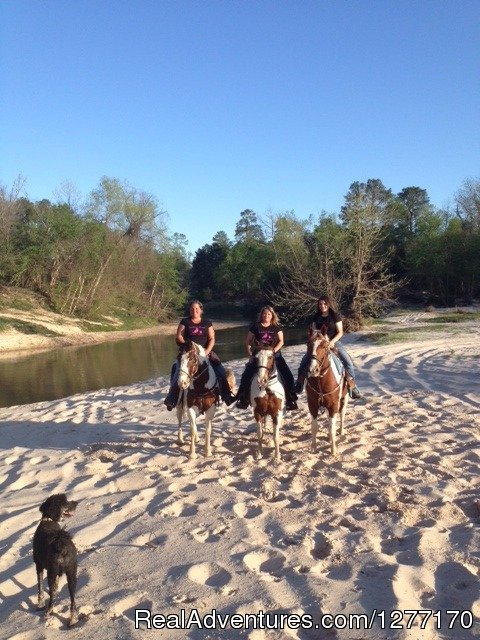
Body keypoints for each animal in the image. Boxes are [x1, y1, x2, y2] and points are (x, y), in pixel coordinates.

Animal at [32, 496, 78, 624]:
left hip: (51, 571)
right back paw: (73, 619)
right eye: (66, 502)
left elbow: (40, 587)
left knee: (51, 596)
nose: (76, 503)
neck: (48, 520)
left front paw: (40, 604)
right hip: (71, 571)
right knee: (72, 596)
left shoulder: (39, 565)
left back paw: (48, 612)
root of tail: (61, 545)